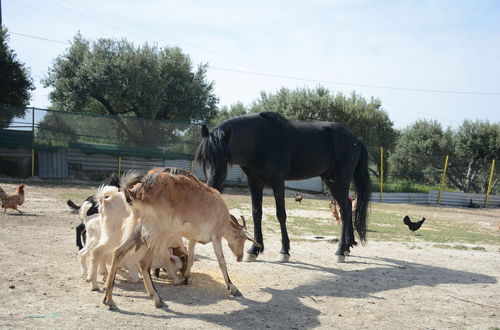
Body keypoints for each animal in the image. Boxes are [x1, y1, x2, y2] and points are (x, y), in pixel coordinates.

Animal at [195, 112, 372, 262]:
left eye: (223, 157)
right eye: (204, 157)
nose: (211, 187)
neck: (260, 140)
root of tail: (356, 140)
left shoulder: (277, 181)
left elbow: (281, 214)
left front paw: (284, 251)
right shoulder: (254, 182)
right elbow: (256, 213)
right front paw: (254, 250)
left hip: (341, 179)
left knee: (344, 210)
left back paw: (340, 251)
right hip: (331, 180)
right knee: (347, 205)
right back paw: (348, 247)